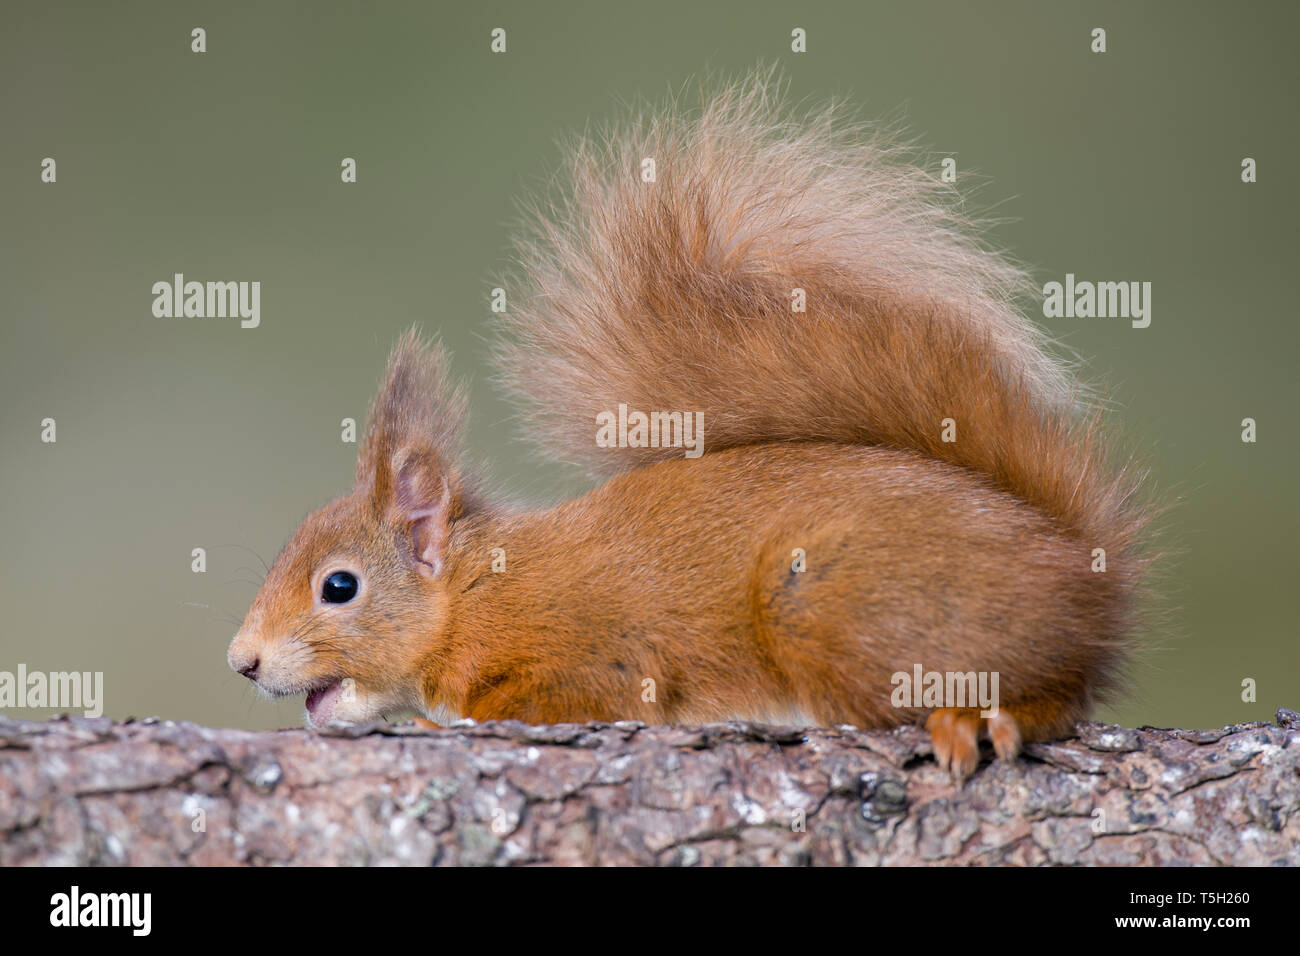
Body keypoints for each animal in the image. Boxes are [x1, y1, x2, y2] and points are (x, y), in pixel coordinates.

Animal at [227, 76, 1153, 781]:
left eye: (338, 586)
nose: (242, 662)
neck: (473, 593)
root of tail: (1081, 573)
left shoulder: (593, 656)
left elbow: (551, 700)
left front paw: (436, 723)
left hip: (830, 598)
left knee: (1052, 694)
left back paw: (984, 717)